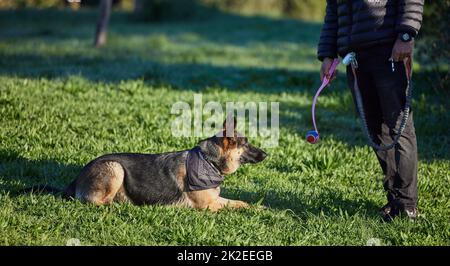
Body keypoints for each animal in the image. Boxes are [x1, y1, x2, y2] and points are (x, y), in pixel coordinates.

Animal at [30, 118, 268, 212]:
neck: (208, 161)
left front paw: (259, 207)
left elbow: (241, 202)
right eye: (246, 144)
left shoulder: (215, 199)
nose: (266, 154)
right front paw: (256, 209)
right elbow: (237, 205)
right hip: (115, 168)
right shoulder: (209, 206)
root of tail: (76, 179)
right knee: (94, 202)